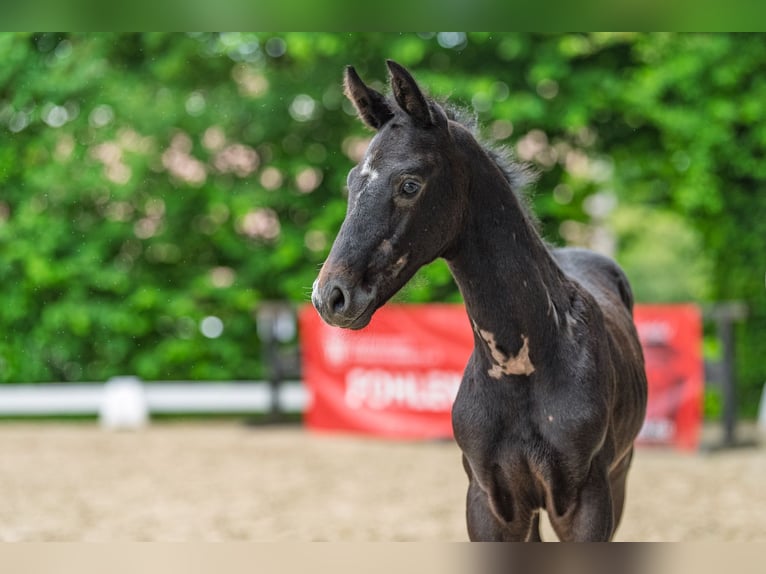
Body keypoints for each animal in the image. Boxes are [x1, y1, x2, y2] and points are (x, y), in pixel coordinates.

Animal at [311, 60, 647, 542]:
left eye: (409, 184)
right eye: (353, 181)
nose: (331, 296)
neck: (524, 366)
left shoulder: (587, 502)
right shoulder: (490, 502)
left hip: (619, 477)